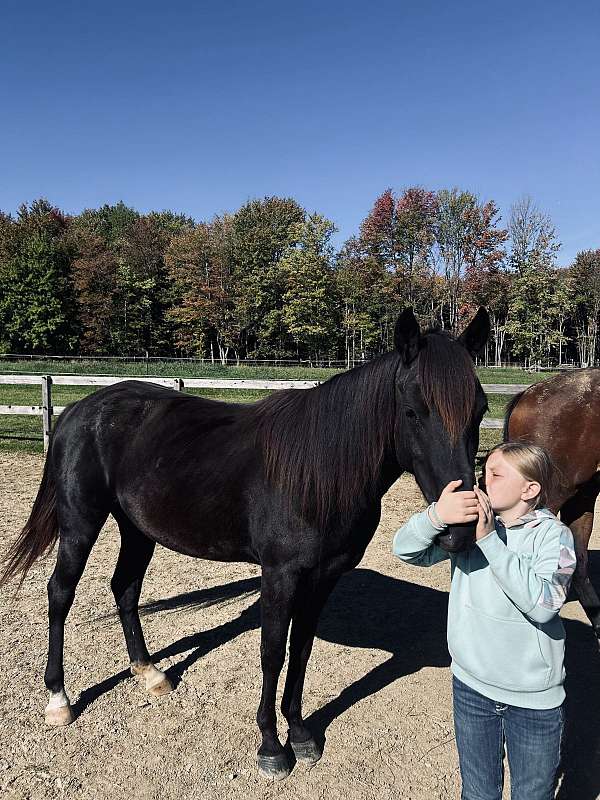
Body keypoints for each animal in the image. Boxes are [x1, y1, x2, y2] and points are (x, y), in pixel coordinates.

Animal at [0, 308, 488, 780]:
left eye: (481, 410)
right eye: (412, 411)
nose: (460, 529)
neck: (319, 471)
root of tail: (80, 408)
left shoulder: (324, 577)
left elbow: (301, 650)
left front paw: (301, 735)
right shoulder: (280, 575)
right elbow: (272, 654)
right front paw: (272, 748)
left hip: (137, 529)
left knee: (125, 588)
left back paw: (151, 674)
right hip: (80, 523)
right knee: (61, 593)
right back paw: (59, 700)